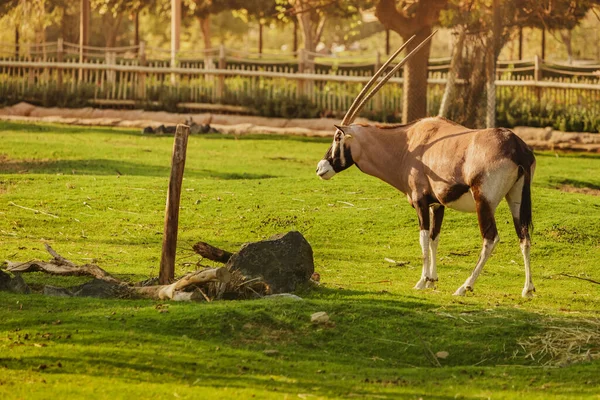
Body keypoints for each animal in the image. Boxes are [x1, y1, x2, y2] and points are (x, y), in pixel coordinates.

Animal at [316, 33, 536, 296]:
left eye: (337, 138)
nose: (320, 168)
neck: (407, 144)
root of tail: (516, 146)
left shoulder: (420, 201)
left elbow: (422, 239)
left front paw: (421, 281)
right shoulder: (437, 204)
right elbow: (434, 238)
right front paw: (432, 279)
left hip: (484, 201)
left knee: (491, 238)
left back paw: (465, 286)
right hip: (516, 197)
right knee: (524, 235)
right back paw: (527, 289)